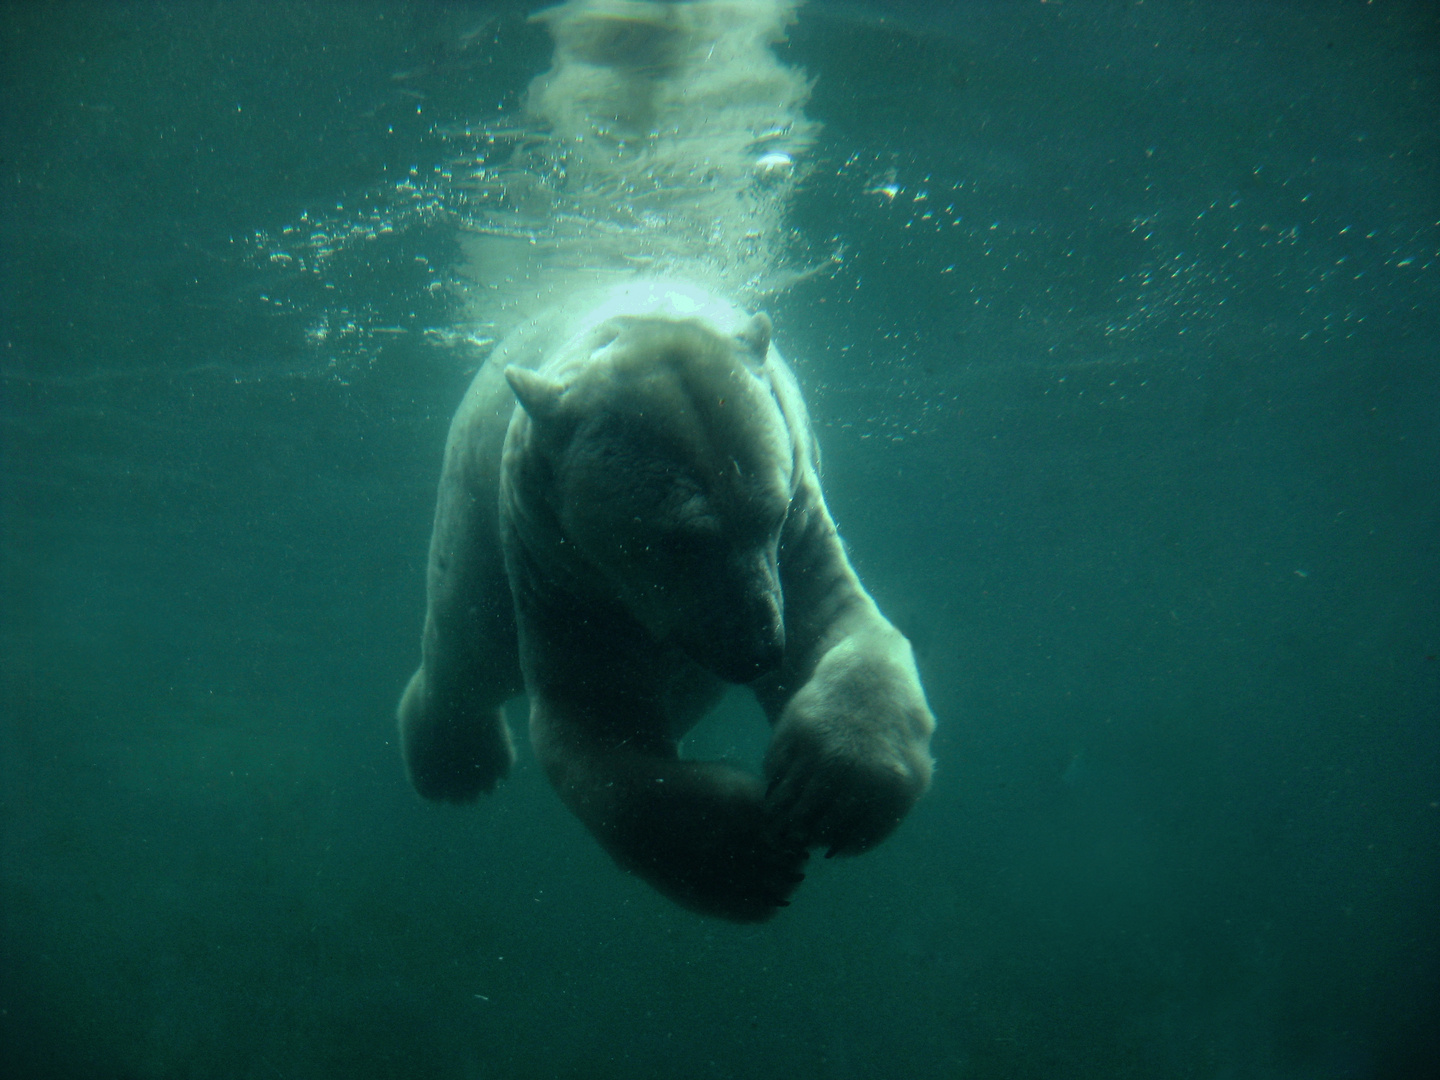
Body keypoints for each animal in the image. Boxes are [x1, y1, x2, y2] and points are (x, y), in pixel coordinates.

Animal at [394, 279, 933, 921]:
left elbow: (839, 624)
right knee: (469, 647)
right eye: (677, 542)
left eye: (770, 515)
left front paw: (832, 791)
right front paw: (751, 858)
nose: (760, 651)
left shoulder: (799, 519)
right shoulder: (560, 566)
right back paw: (457, 766)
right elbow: (600, 725)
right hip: (475, 524)